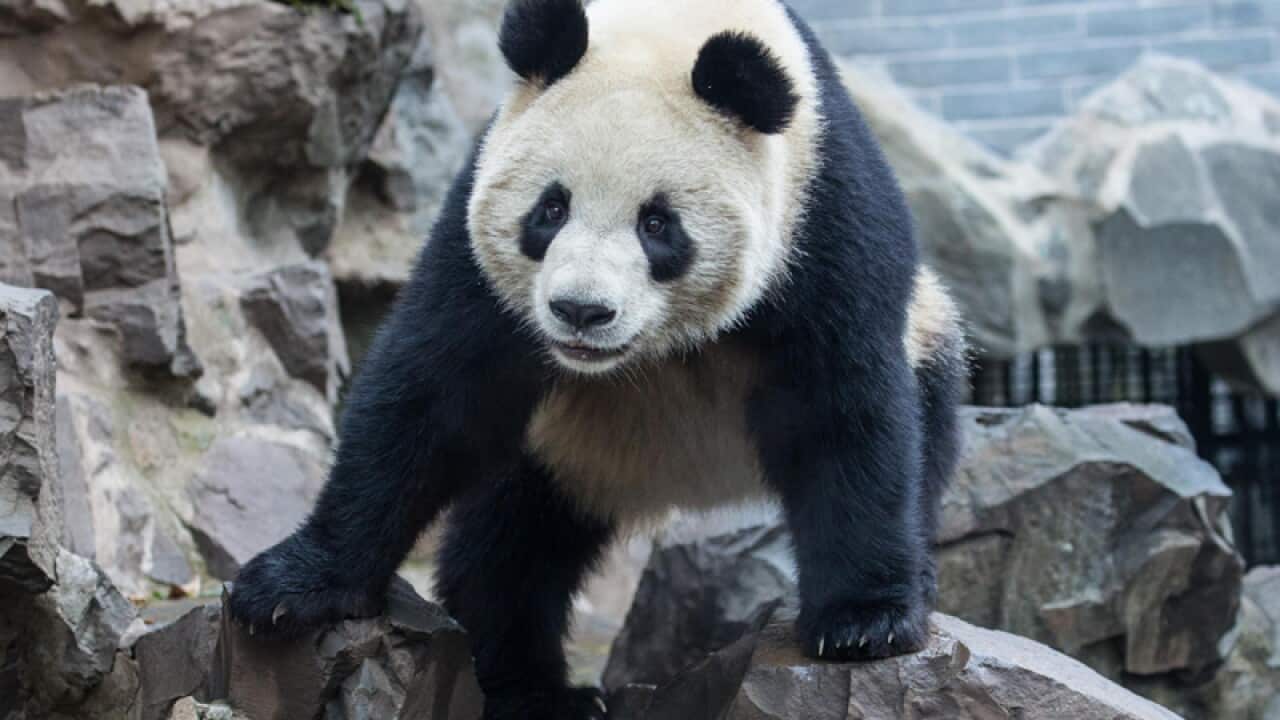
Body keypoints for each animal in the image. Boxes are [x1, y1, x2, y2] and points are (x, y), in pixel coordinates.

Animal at [230, 0, 967, 717]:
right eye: (550, 209)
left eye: (657, 223)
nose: (580, 311)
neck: (674, 26)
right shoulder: (478, 246)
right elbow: (431, 394)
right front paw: (293, 587)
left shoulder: (821, 217)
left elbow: (840, 411)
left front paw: (862, 623)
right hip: (565, 445)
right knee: (514, 542)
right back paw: (537, 691)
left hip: (925, 329)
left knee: (929, 426)